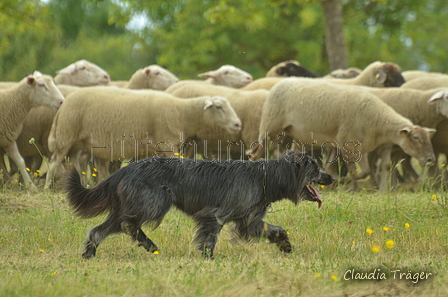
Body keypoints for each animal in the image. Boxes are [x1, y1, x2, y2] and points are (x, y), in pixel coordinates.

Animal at [65, 150, 332, 256]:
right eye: (315, 168)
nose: (331, 178)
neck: (266, 177)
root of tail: (124, 169)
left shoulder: (250, 221)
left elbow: (275, 229)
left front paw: (285, 245)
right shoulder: (215, 215)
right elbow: (209, 240)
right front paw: (208, 259)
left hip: (131, 205)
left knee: (98, 230)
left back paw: (90, 254)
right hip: (154, 203)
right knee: (127, 225)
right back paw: (149, 244)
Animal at [250, 77, 436, 191]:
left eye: (428, 138)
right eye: (416, 138)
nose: (430, 159)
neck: (378, 119)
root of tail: (282, 81)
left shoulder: (376, 147)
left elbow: (379, 168)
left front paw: (382, 190)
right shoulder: (347, 143)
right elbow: (354, 171)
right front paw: (351, 187)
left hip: (297, 135)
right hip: (270, 126)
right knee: (256, 152)